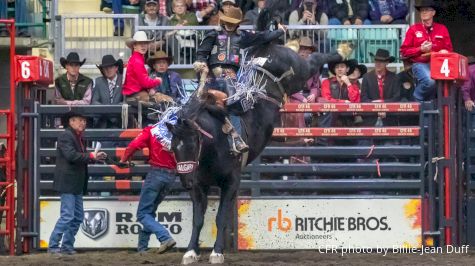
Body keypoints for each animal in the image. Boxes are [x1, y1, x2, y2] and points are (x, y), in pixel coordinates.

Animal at [166, 5, 350, 264]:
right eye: (174, 147)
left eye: (193, 144)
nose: (184, 181)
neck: (212, 148)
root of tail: (266, 48)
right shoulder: (199, 185)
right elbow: (198, 219)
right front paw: (191, 252)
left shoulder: (231, 182)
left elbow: (220, 218)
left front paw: (217, 252)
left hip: (300, 71)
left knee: (314, 60)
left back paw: (341, 52)